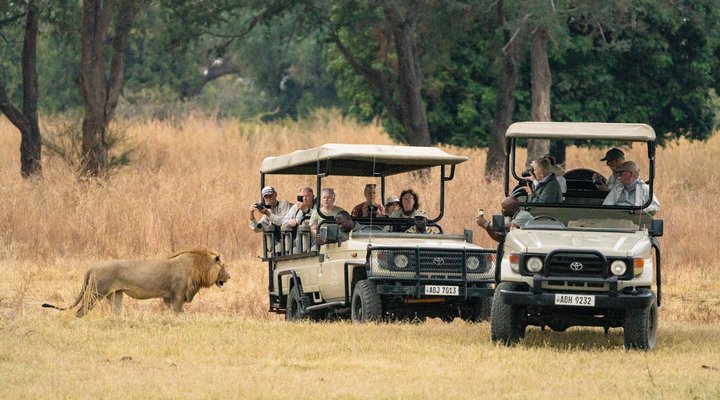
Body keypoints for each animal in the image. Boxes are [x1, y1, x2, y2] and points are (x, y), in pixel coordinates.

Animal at [42, 248, 230, 317]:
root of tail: (92, 266)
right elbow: (178, 313)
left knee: (116, 313)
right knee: (80, 311)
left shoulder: (168, 298)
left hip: (115, 295)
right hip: (95, 293)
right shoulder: (177, 295)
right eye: (223, 267)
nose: (229, 277)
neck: (198, 268)